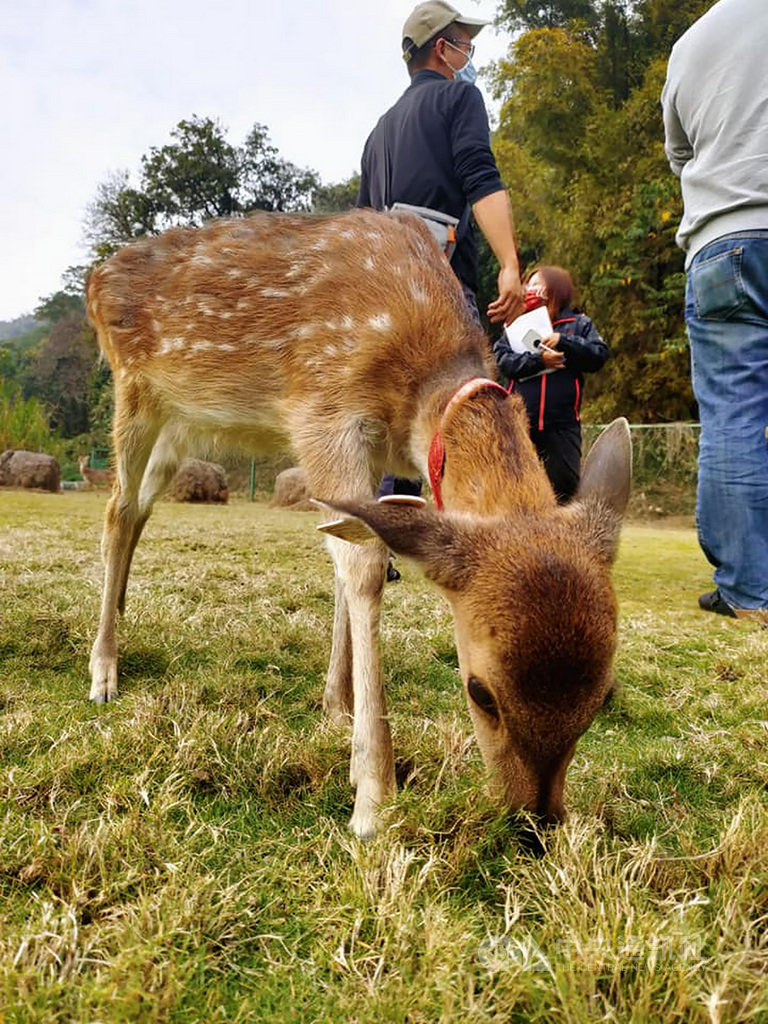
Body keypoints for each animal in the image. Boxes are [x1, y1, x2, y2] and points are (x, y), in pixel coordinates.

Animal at [87, 207, 634, 839]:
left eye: (604, 696)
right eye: (480, 692)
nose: (533, 825)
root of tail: (94, 281)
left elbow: (349, 552)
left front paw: (337, 712)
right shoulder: (323, 414)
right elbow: (365, 564)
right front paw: (373, 797)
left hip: (181, 430)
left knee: (139, 510)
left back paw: (122, 612)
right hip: (134, 392)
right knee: (116, 510)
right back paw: (103, 672)